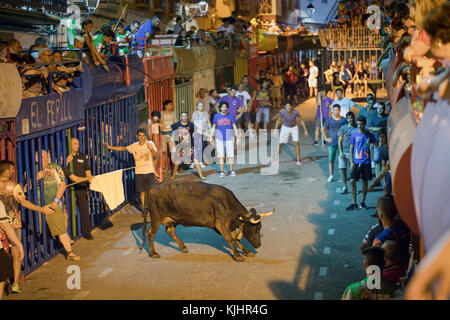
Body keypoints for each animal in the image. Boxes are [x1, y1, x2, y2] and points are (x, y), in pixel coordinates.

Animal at [142, 181, 274, 262]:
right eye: (254, 228)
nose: (258, 244)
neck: (226, 203)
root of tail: (153, 187)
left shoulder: (230, 225)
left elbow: (236, 238)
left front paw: (246, 252)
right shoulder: (221, 224)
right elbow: (230, 239)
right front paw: (237, 256)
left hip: (171, 219)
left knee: (170, 231)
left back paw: (183, 247)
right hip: (156, 216)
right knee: (151, 233)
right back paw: (153, 253)